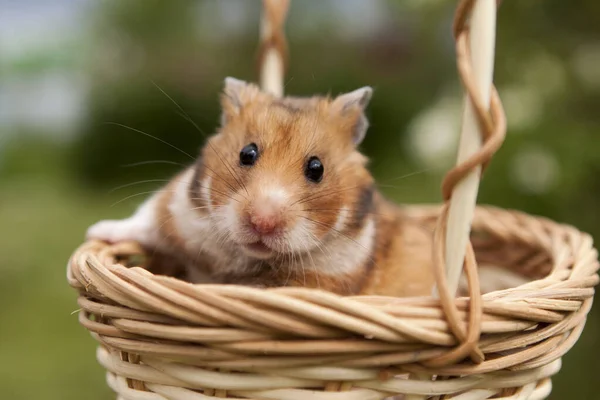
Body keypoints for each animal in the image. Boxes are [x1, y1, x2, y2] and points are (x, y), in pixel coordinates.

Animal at [86, 78, 434, 296]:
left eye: (317, 168)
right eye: (247, 153)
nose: (262, 223)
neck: (247, 256)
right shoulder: (174, 207)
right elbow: (142, 222)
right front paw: (96, 232)